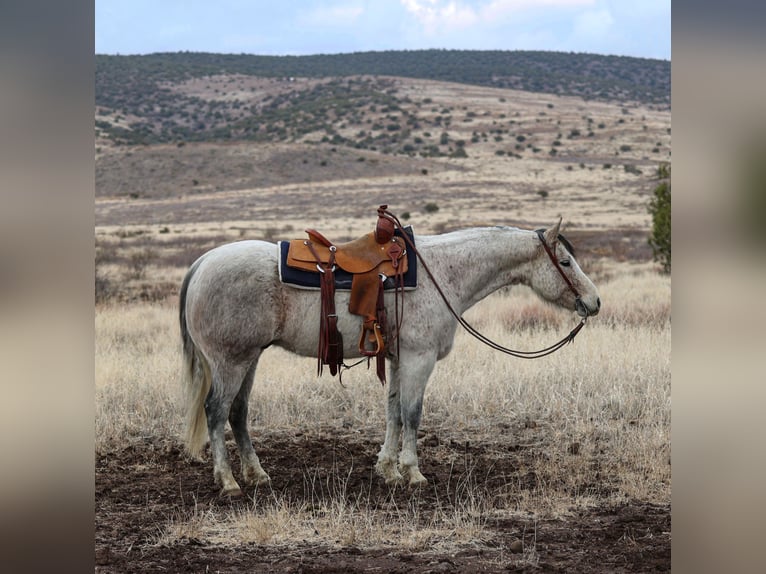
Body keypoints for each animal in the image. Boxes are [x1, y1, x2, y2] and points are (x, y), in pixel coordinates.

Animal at [178, 220, 600, 500]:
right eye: (565, 262)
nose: (593, 302)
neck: (442, 272)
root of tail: (202, 263)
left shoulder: (398, 359)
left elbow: (394, 410)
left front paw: (388, 469)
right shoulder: (419, 358)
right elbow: (412, 413)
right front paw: (412, 473)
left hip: (248, 360)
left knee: (238, 412)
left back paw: (257, 474)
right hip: (230, 361)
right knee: (216, 410)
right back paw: (228, 481)